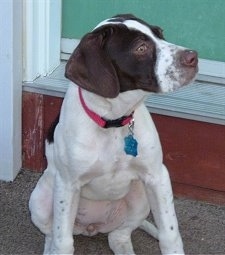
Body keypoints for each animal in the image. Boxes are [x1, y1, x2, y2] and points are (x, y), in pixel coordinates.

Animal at [29, 14, 198, 255]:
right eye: (140, 48)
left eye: (160, 33)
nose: (193, 57)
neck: (114, 122)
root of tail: (91, 227)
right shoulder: (68, 185)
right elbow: (63, 242)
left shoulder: (157, 176)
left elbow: (170, 234)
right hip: (40, 201)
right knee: (52, 235)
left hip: (140, 198)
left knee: (119, 235)